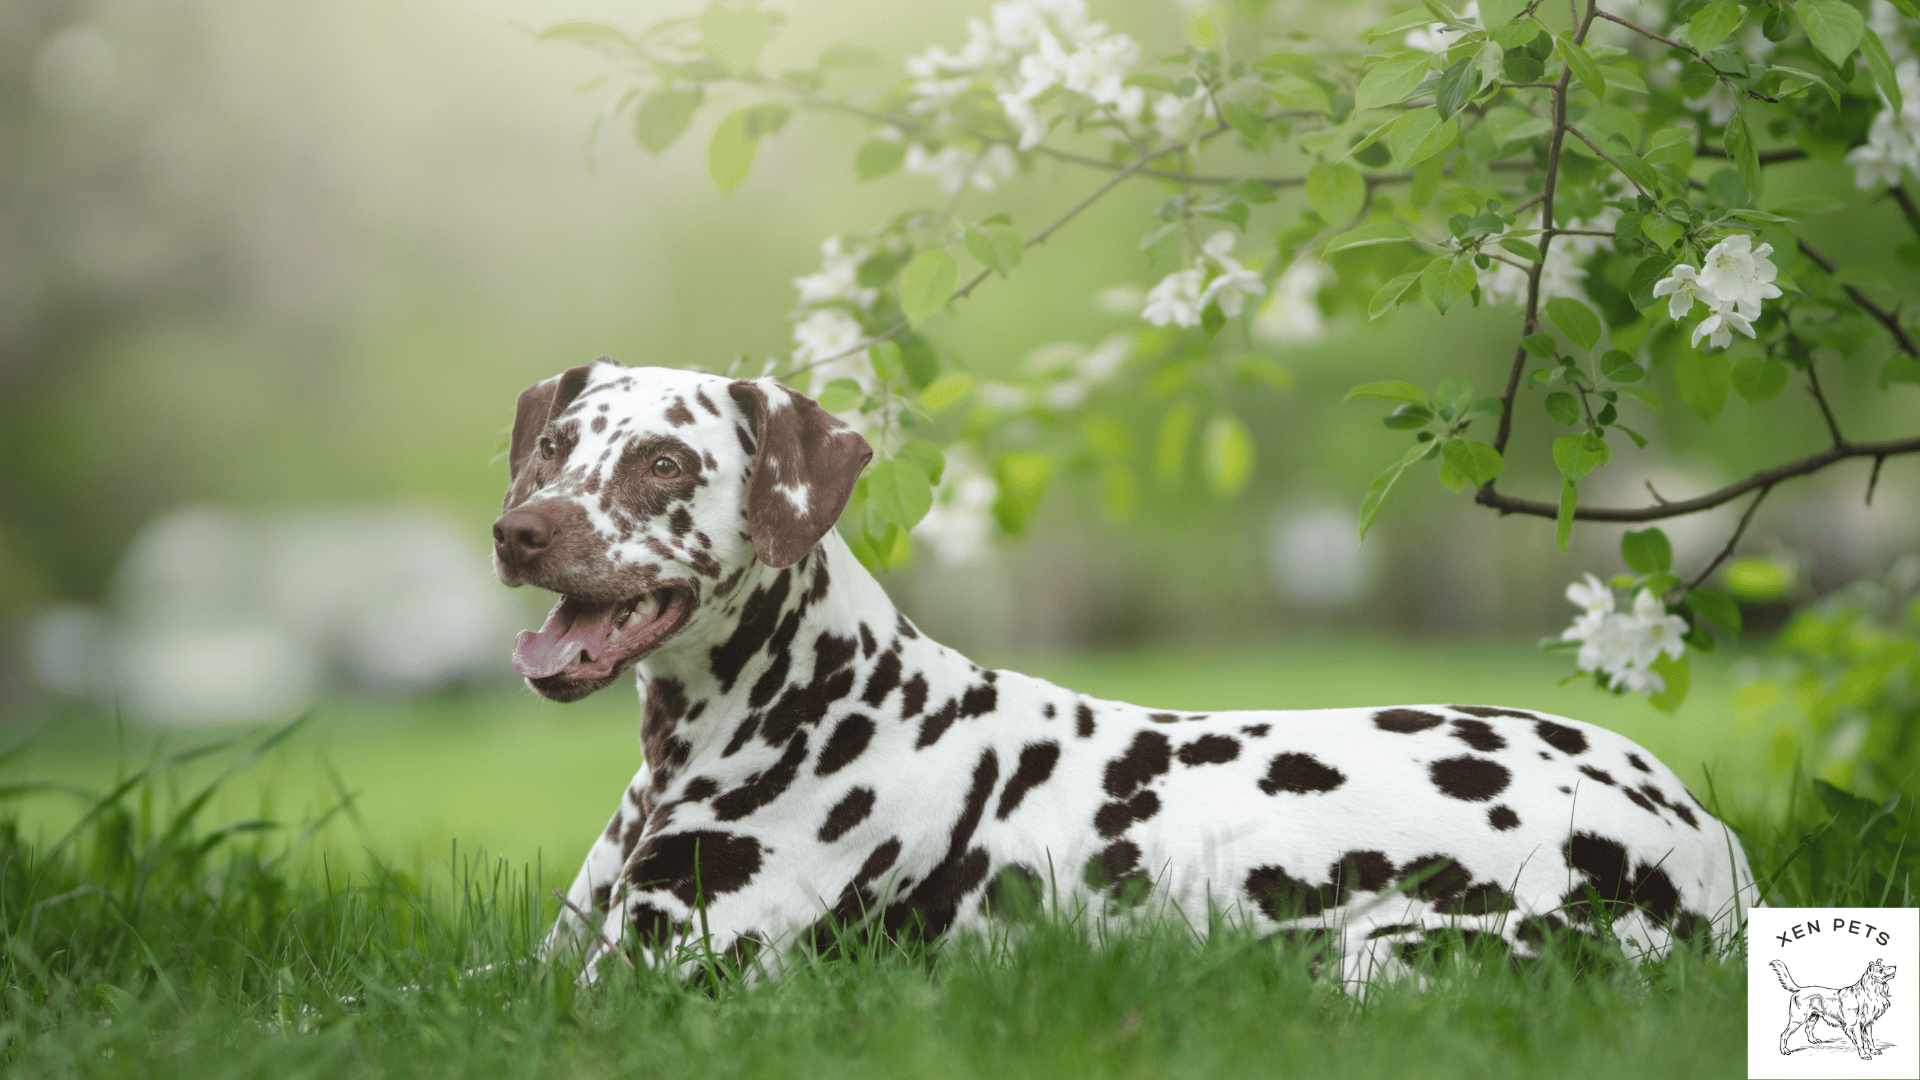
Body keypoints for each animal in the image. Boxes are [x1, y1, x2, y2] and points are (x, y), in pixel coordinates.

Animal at [491, 357, 1758, 980]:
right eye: (552, 446)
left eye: (662, 463)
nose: (520, 532)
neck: (808, 697)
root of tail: (1705, 831)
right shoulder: (544, 969)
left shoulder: (648, 984)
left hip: (1375, 958)